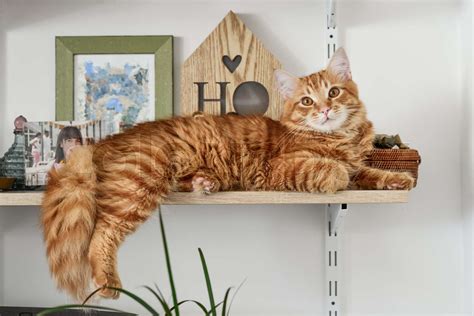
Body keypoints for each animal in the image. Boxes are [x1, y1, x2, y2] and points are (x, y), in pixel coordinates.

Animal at [40, 47, 412, 302]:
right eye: (307, 101)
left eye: (333, 92)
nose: (324, 110)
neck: (339, 137)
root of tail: (107, 140)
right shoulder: (280, 167)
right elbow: (328, 169)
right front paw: (335, 173)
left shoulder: (358, 165)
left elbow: (369, 173)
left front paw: (399, 178)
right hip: (140, 183)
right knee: (101, 234)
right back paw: (109, 284)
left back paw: (204, 181)